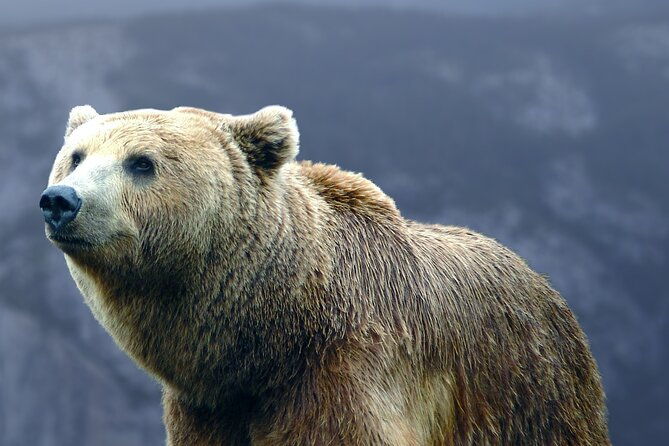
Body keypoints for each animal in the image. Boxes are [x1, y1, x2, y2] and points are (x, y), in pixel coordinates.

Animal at [41, 104, 610, 445]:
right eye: (76, 155)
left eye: (142, 162)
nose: (61, 200)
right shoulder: (208, 410)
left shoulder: (347, 377)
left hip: (529, 395)